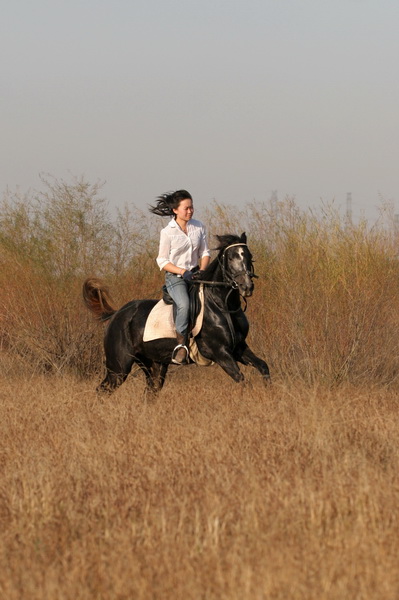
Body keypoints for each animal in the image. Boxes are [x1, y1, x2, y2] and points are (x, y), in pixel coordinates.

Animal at [83, 233, 272, 394]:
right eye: (231, 257)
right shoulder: (220, 352)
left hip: (154, 365)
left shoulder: (238, 347)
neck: (222, 305)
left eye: (249, 256)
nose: (247, 287)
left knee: (150, 392)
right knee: (102, 390)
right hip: (119, 366)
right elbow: (243, 381)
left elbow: (263, 366)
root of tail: (116, 314)